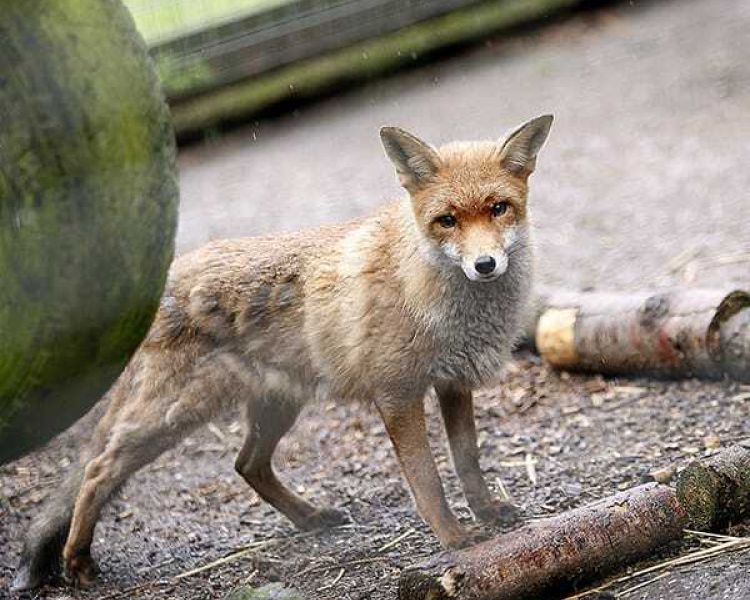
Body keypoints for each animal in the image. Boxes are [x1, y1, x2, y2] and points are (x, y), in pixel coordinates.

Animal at [13, 114, 553, 590]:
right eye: (447, 221)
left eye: (499, 208)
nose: (485, 264)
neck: (431, 291)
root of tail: (168, 278)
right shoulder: (397, 393)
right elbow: (428, 480)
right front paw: (455, 537)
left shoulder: (453, 382)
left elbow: (468, 462)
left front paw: (488, 512)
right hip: (173, 416)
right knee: (98, 470)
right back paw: (77, 561)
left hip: (277, 405)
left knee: (246, 465)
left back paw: (309, 517)